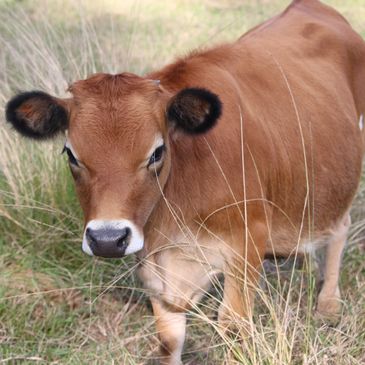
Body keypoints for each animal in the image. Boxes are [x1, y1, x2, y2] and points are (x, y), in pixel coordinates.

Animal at [3, 0, 364, 364]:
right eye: (71, 154)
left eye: (157, 152)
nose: (107, 239)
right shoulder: (156, 272)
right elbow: (169, 338)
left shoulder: (248, 243)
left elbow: (233, 325)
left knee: (341, 227)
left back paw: (328, 302)